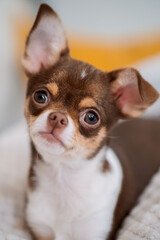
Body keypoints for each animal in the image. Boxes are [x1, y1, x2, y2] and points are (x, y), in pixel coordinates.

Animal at [21, 3, 159, 240]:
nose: (57, 117)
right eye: (40, 96)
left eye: (91, 117)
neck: (63, 178)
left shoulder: (97, 232)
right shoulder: (40, 231)